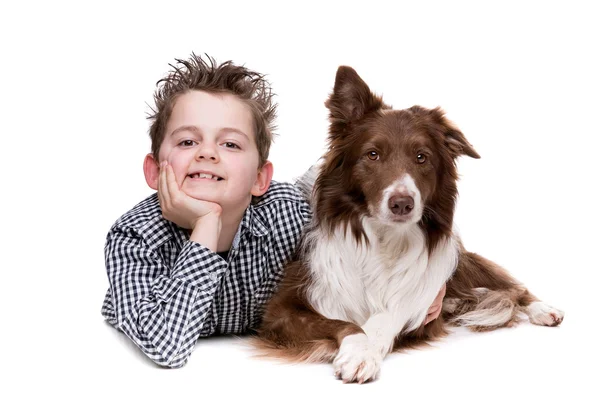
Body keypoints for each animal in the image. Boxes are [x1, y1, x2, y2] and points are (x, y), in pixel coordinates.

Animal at [253, 66, 564, 384]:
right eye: (373, 154)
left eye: (421, 157)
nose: (402, 203)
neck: (382, 238)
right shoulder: (283, 309)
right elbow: (344, 323)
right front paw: (360, 351)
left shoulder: (420, 297)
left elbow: (389, 313)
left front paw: (364, 351)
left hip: (463, 261)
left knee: (511, 286)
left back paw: (543, 309)